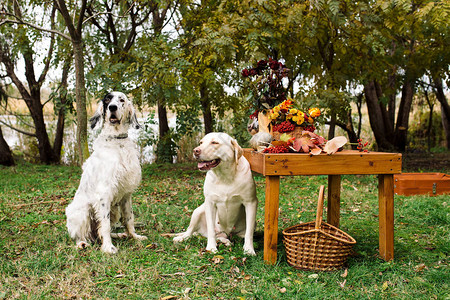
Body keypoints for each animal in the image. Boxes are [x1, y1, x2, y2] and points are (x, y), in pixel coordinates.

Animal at [66, 91, 147, 253]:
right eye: (107, 100)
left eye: (121, 100)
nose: (112, 107)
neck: (117, 141)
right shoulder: (104, 194)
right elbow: (105, 225)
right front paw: (109, 248)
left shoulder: (126, 194)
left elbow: (129, 218)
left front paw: (134, 236)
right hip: (82, 211)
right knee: (81, 234)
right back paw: (82, 243)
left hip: (114, 210)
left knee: (99, 232)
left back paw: (119, 234)